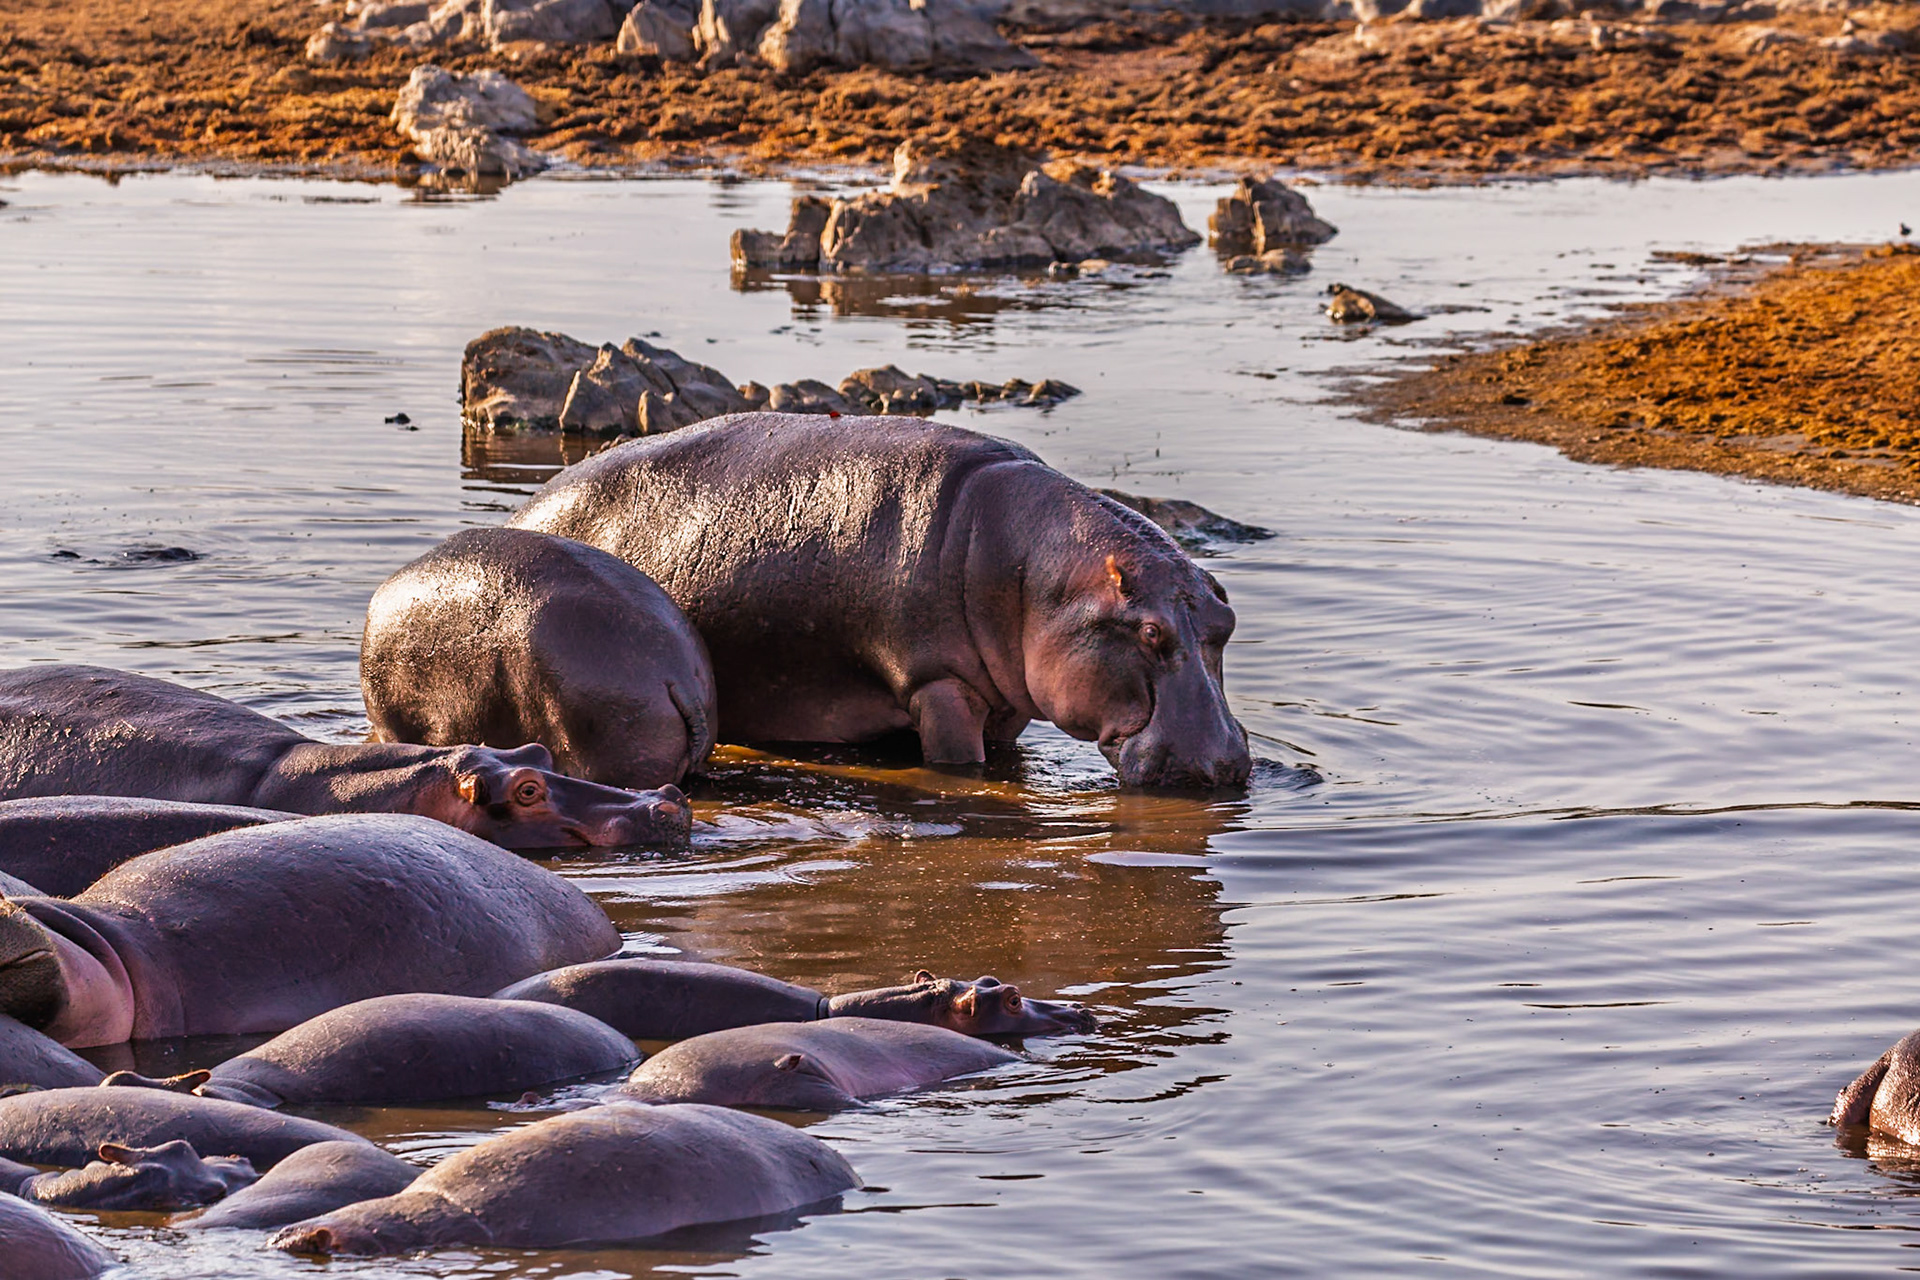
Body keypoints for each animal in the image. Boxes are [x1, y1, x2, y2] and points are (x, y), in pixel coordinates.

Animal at [508, 415, 1252, 789]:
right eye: (1150, 633)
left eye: (1226, 622)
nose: (1225, 764)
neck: (1036, 574)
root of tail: (529, 508)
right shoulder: (937, 684)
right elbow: (960, 764)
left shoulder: (1009, 697)